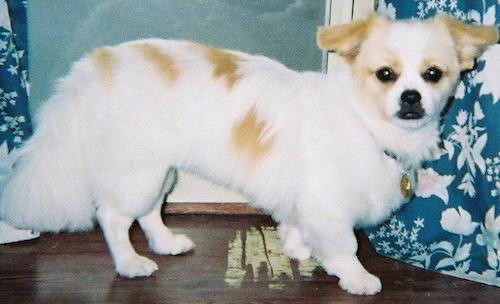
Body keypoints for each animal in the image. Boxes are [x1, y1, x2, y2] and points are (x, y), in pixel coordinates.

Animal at [0, 14, 496, 294]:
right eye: (386, 75)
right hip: (139, 171)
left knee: (150, 212)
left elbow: (296, 226)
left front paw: (297, 248)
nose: (411, 98)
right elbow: (344, 246)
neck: (366, 121)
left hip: (160, 171)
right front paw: (356, 278)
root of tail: (93, 68)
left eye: (433, 75)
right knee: (114, 217)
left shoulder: (302, 196)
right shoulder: (330, 204)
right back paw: (130, 264)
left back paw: (166, 243)